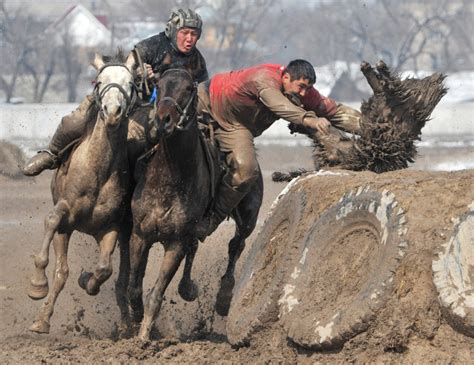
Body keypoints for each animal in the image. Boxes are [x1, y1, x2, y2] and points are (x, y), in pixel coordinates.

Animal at [27, 50, 136, 332]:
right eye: (99, 82)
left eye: (131, 83)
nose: (113, 112)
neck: (98, 170)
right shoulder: (65, 216)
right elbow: (52, 222)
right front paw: (37, 287)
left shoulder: (110, 227)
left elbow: (104, 269)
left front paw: (87, 279)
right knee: (61, 271)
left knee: (121, 276)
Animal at [128, 66, 264, 342]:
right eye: (158, 84)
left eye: (189, 87)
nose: (164, 120)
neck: (169, 178)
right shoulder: (140, 234)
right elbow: (135, 286)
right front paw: (135, 316)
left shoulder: (175, 242)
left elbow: (156, 293)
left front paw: (144, 337)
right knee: (197, 248)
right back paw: (187, 287)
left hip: (248, 216)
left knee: (236, 245)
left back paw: (223, 297)